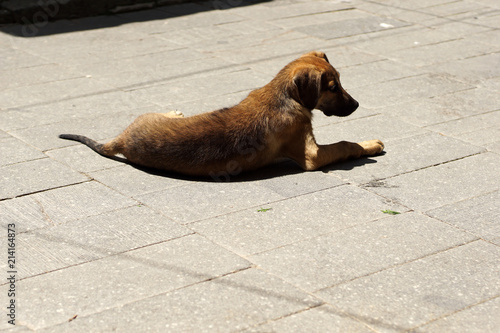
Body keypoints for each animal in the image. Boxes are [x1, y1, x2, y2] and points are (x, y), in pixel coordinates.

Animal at [60, 50, 384, 179]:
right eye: (332, 87)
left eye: (340, 81)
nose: (357, 105)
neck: (282, 94)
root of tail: (123, 139)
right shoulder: (311, 156)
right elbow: (345, 144)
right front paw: (370, 145)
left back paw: (175, 112)